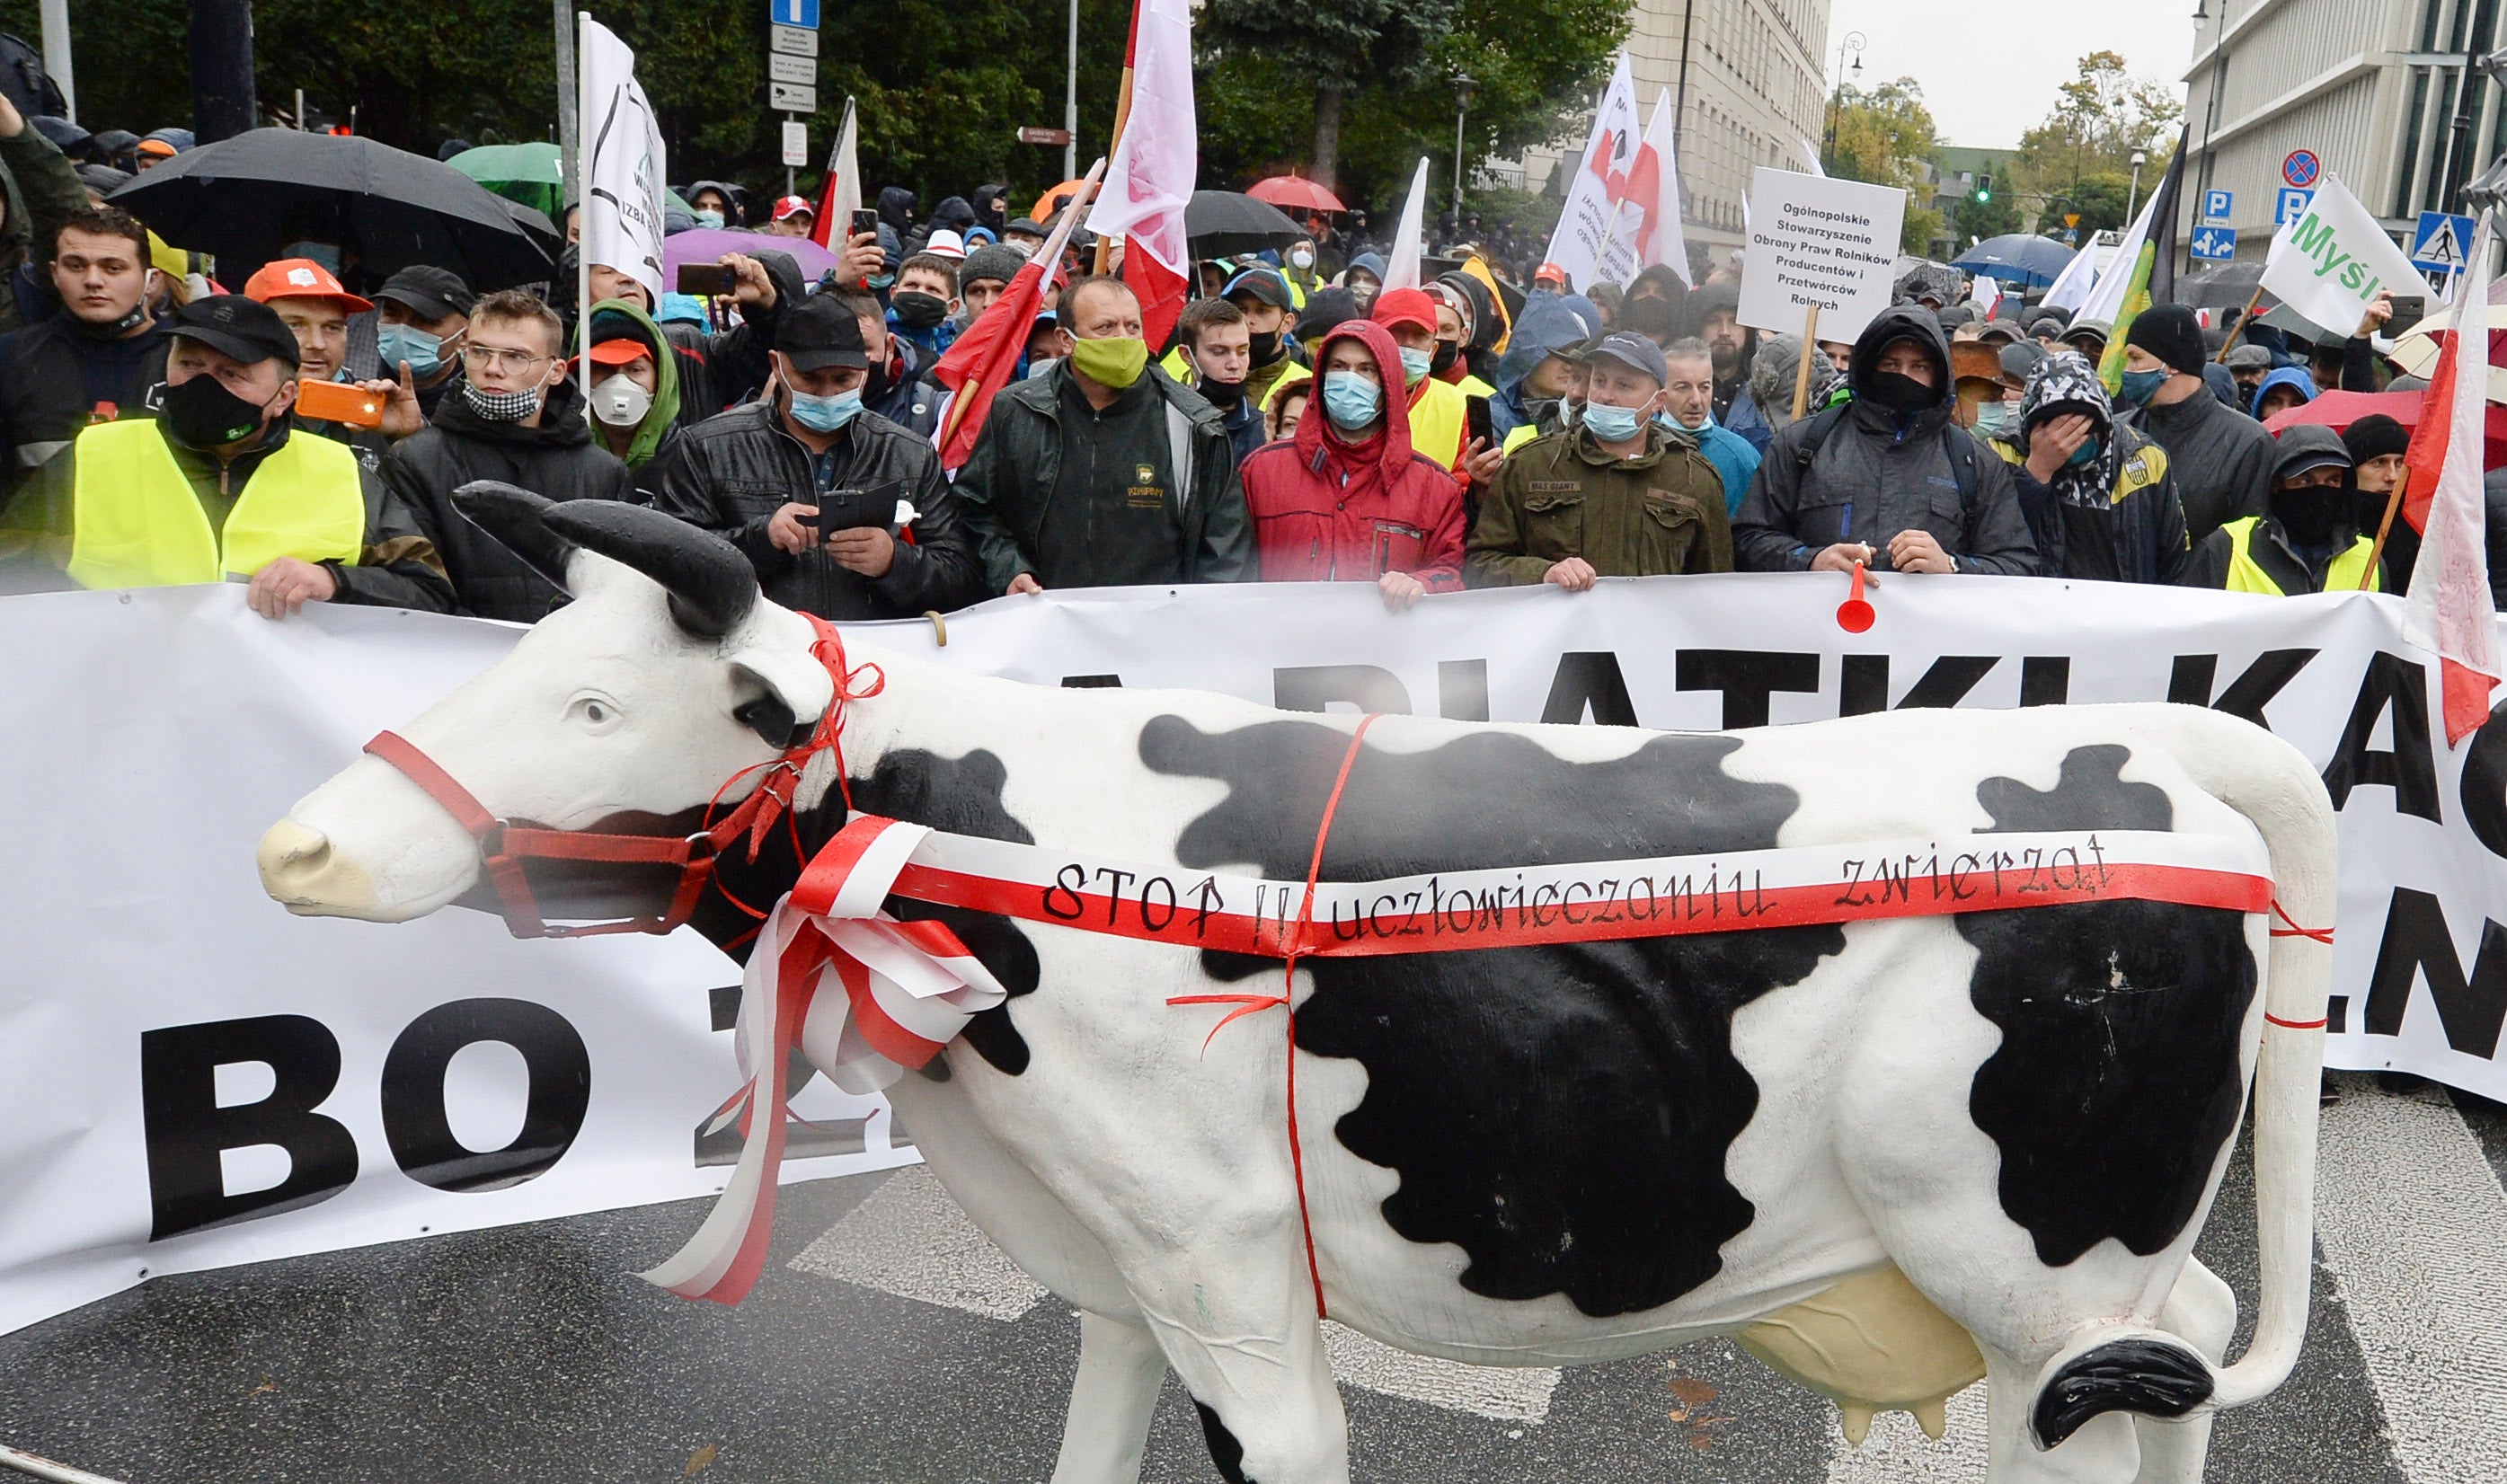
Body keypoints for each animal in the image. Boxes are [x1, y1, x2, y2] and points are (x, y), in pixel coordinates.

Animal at [254, 493, 2326, 1473]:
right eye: (521, 655)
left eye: (599, 704)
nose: (301, 850)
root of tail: (2160, 747)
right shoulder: (1115, 1270)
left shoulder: (1233, 1277)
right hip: (2098, 1255)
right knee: (2198, 1347)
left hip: (2034, 1259)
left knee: (2105, 1401)